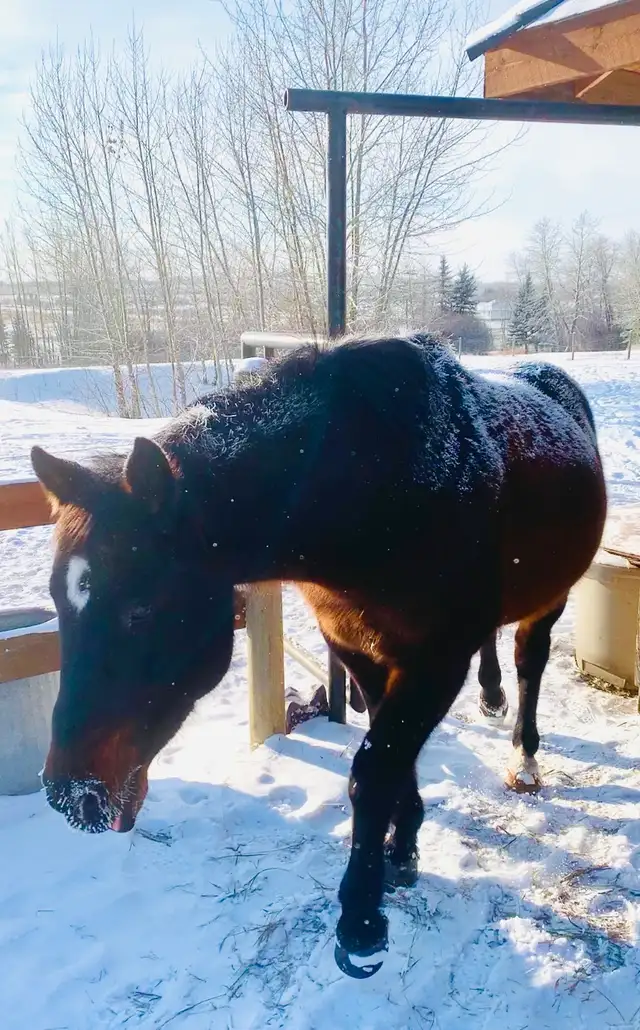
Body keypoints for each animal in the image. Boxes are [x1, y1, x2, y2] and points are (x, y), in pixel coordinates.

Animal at [31, 333, 606, 979]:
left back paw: (525, 758)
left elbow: (375, 770)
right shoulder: (357, 651)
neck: (385, 493)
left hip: (550, 600)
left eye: (140, 610)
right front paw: (401, 848)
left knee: (531, 661)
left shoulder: (434, 663)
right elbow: (392, 758)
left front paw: (361, 920)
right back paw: (491, 696)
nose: (69, 795)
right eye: (58, 600)